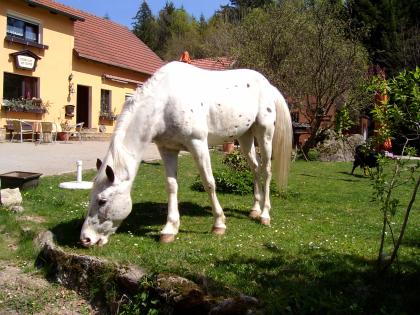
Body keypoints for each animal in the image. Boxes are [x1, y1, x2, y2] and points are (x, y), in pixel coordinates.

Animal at [81, 61, 292, 248]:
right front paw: (169, 229)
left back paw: (264, 215)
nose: (86, 239)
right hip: (245, 137)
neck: (164, 103)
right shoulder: (167, 149)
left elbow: (209, 183)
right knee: (255, 169)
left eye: (102, 201)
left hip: (264, 134)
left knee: (266, 171)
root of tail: (268, 85)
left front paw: (219, 224)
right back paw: (255, 210)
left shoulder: (198, 144)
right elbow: (171, 186)